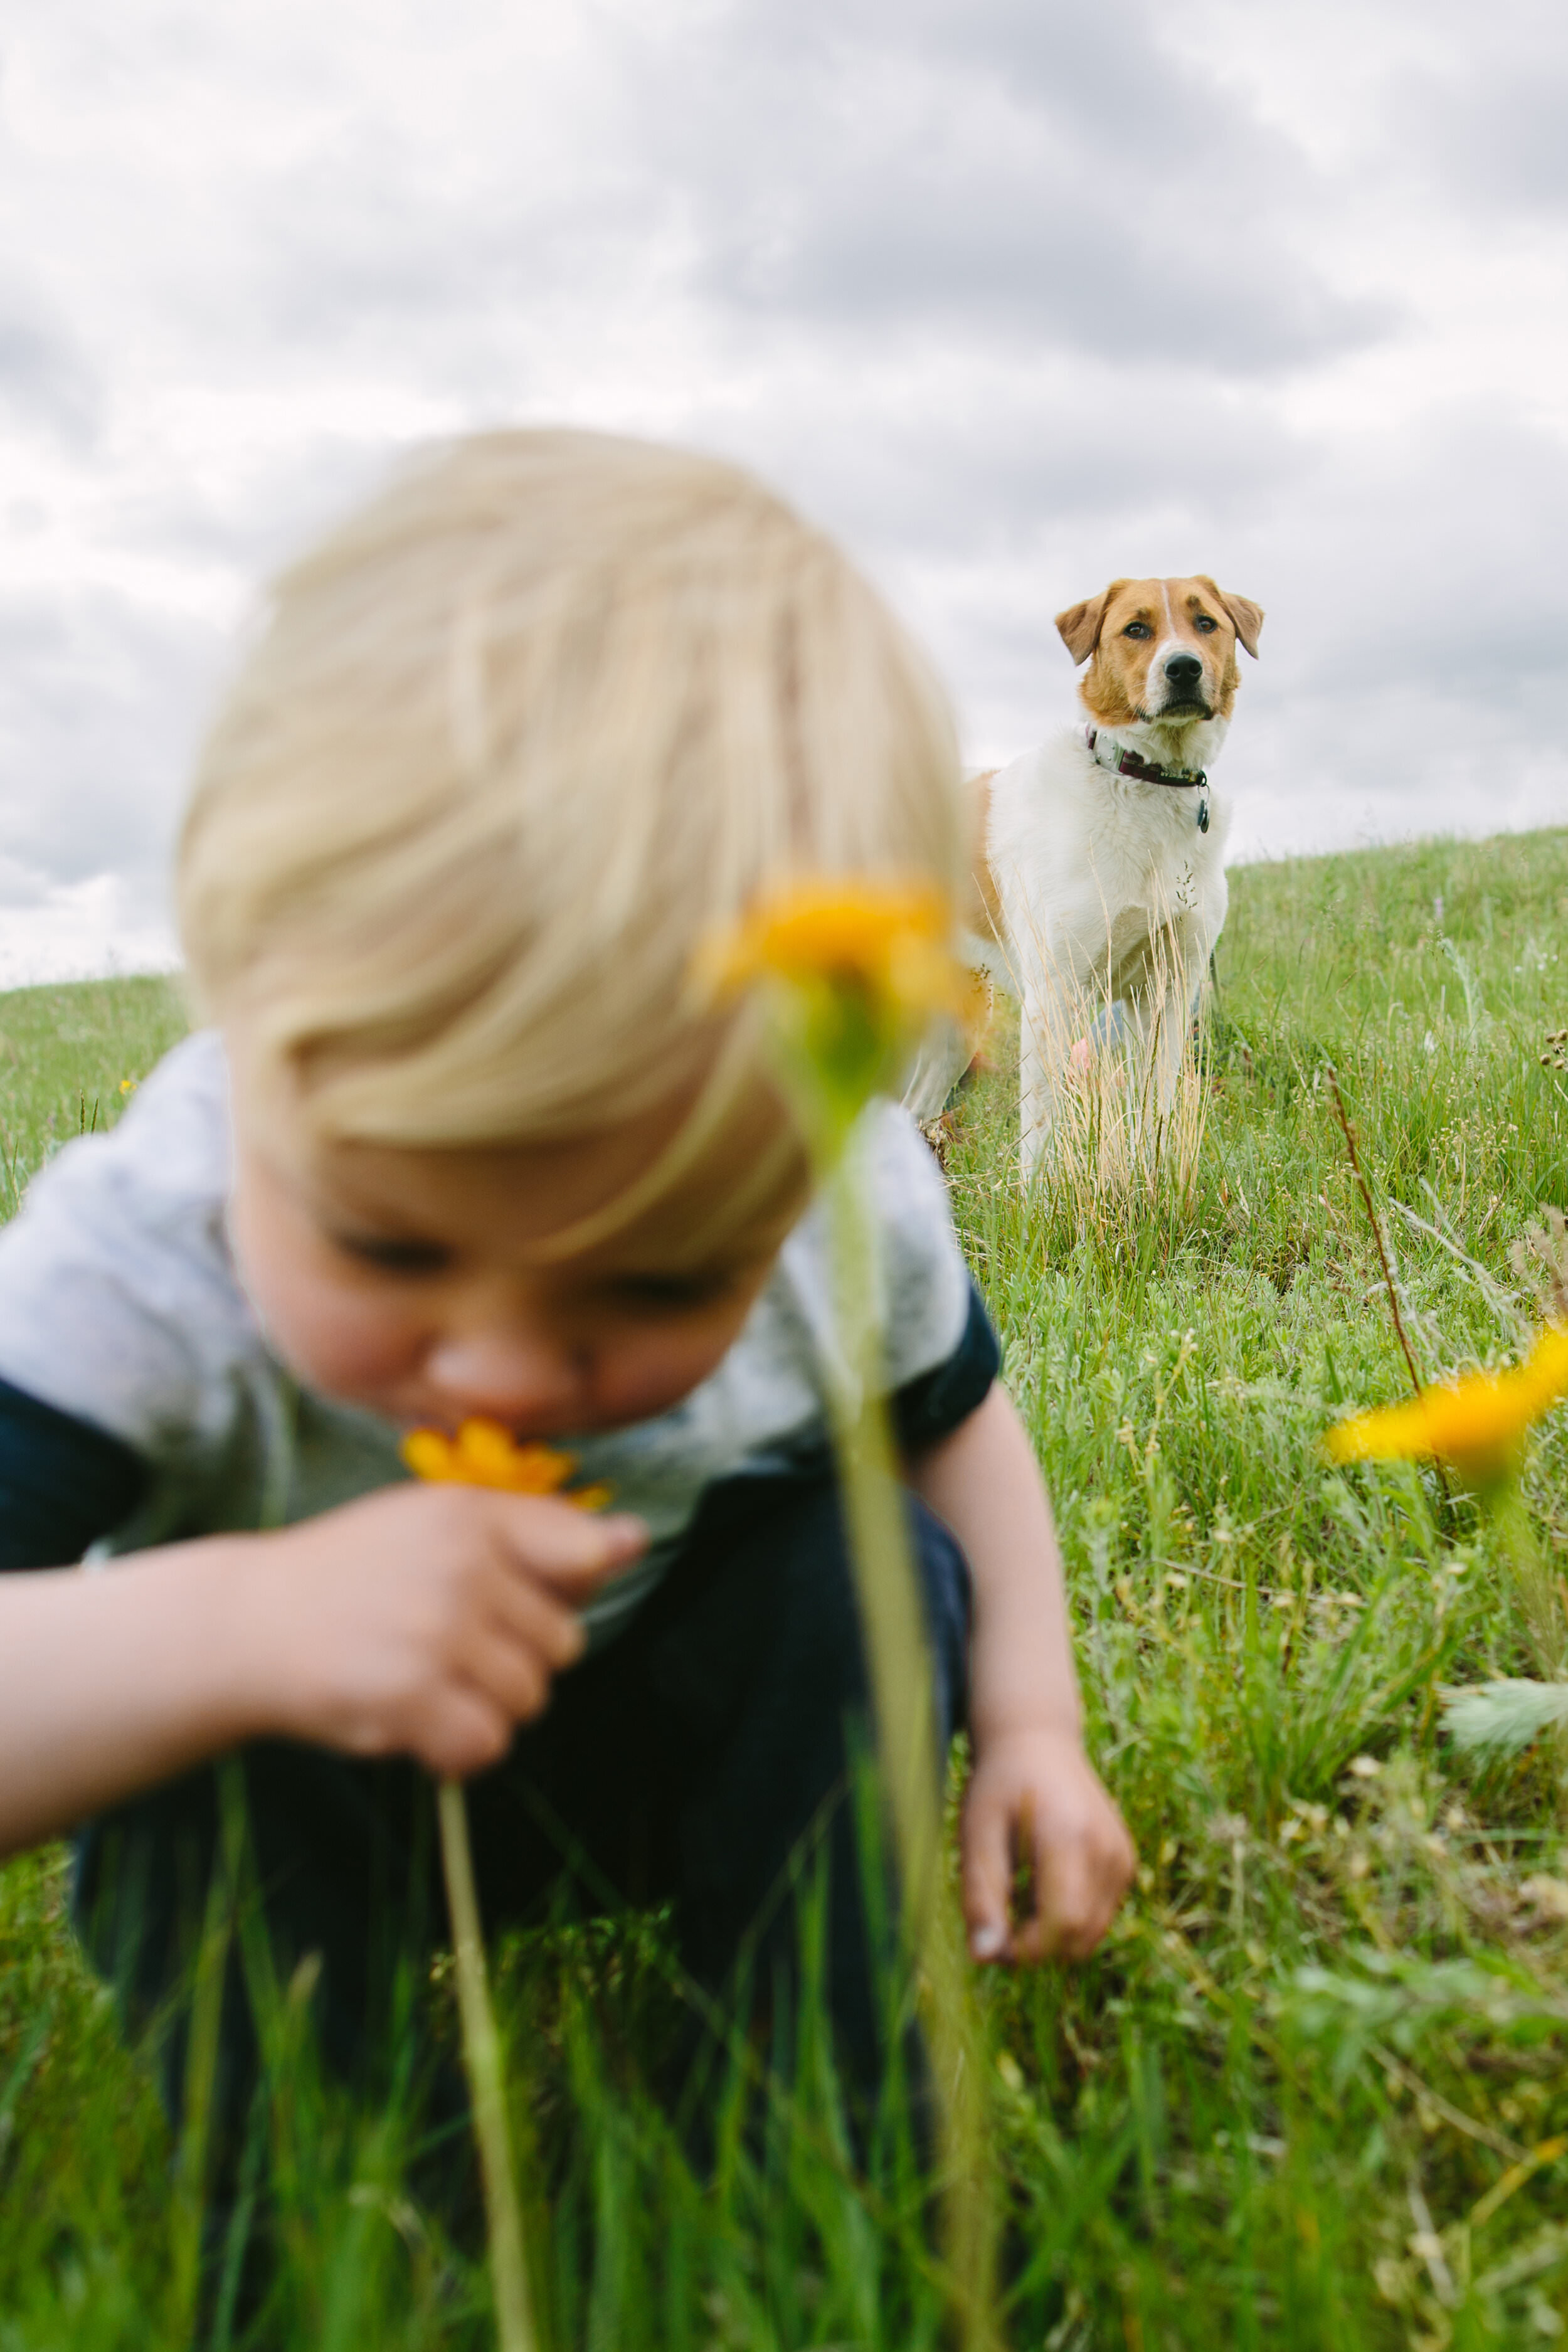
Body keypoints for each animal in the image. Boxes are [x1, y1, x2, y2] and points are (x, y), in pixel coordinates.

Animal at [907, 574, 1259, 1171]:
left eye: (1206, 623)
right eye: (1136, 629)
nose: (1184, 668)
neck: (1144, 782)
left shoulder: (1165, 993)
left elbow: (1155, 1109)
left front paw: (1154, 1178)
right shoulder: (1056, 995)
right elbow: (1042, 1137)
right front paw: (1042, 1196)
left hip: (957, 1023)